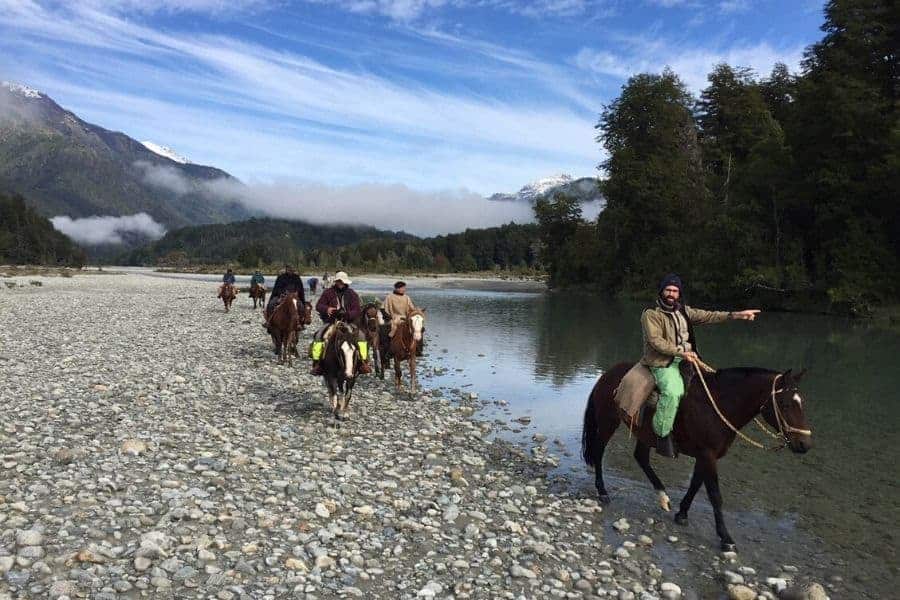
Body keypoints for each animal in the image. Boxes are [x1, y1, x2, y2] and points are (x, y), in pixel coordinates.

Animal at [584, 364, 816, 552]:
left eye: (802, 403)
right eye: (785, 404)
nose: (804, 444)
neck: (720, 405)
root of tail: (608, 374)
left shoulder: (704, 456)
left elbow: (696, 484)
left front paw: (682, 514)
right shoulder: (708, 455)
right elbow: (714, 494)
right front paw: (726, 539)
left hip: (646, 434)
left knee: (640, 457)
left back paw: (663, 497)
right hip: (608, 421)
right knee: (598, 451)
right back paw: (603, 492)